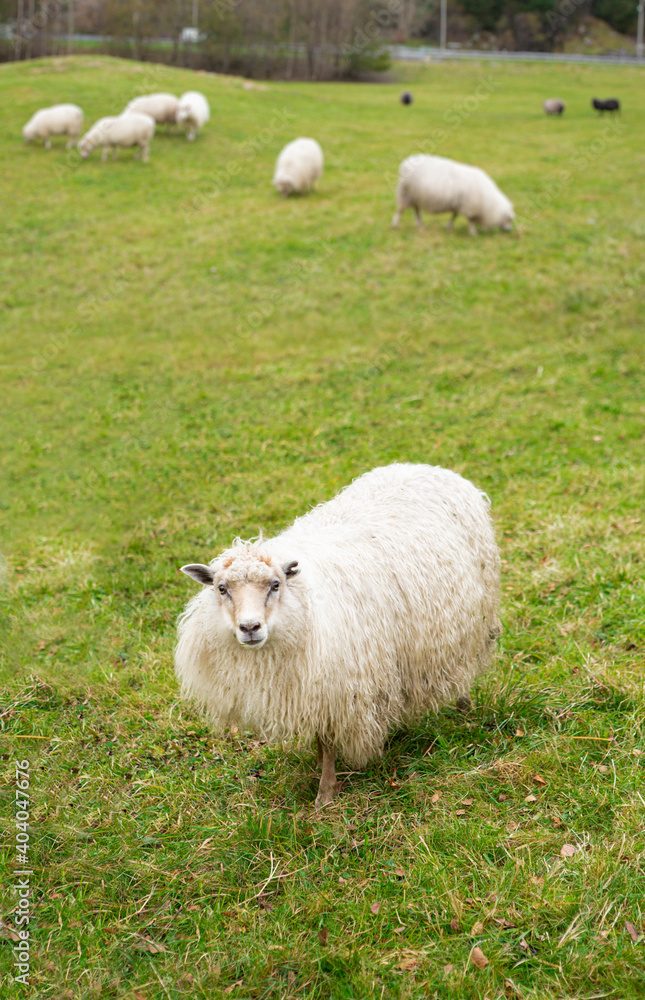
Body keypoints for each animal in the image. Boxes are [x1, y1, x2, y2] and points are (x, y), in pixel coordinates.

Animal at [175, 463, 502, 809]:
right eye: (221, 588)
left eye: (275, 585)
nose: (250, 628)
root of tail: (427, 467)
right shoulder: (313, 687)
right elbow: (321, 741)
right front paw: (321, 769)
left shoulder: (339, 685)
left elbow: (329, 741)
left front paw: (326, 793)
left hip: (472, 618)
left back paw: (464, 707)